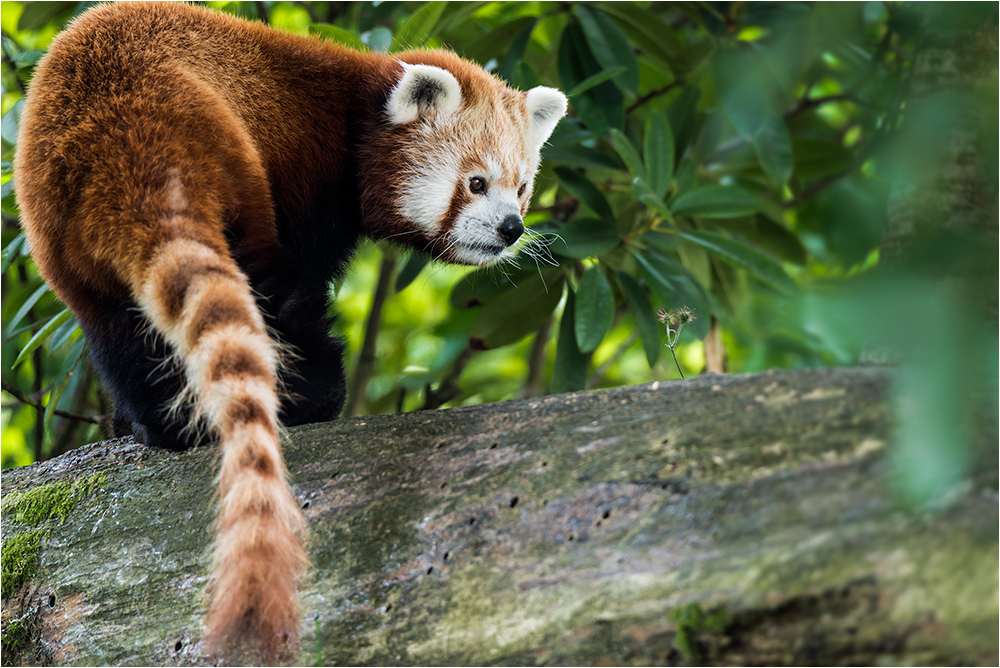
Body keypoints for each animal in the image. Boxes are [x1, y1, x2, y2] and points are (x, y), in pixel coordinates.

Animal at [11, 1, 568, 664]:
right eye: (476, 182)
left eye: (523, 187)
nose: (511, 227)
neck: (356, 111)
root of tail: (129, 150)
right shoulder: (308, 170)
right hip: (233, 170)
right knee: (273, 297)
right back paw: (312, 396)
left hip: (60, 234)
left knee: (120, 336)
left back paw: (160, 427)